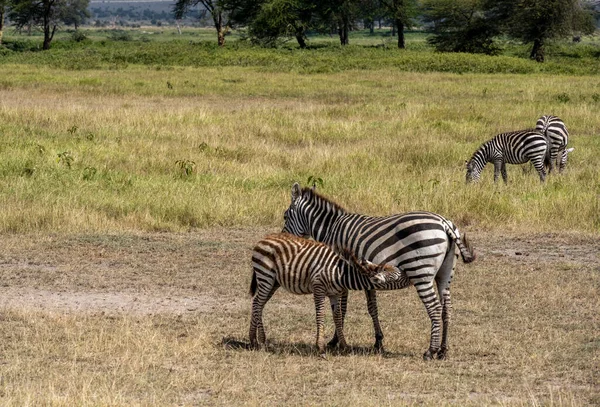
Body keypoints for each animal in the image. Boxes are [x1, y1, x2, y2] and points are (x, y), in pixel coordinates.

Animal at [248, 233, 408, 356]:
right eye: (397, 277)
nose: (409, 275)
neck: (341, 274)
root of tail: (264, 238)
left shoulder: (334, 294)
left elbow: (337, 316)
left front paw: (344, 345)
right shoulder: (318, 288)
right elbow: (320, 314)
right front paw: (320, 346)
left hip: (273, 282)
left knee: (257, 304)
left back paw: (253, 340)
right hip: (266, 276)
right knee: (258, 303)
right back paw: (261, 341)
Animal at [284, 185, 476, 360]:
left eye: (285, 216)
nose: (283, 236)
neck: (331, 228)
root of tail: (444, 223)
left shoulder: (339, 272)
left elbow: (341, 309)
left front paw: (335, 340)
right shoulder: (365, 277)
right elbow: (372, 308)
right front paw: (378, 341)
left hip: (421, 272)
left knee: (435, 308)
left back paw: (430, 351)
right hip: (445, 274)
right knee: (446, 308)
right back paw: (443, 350)